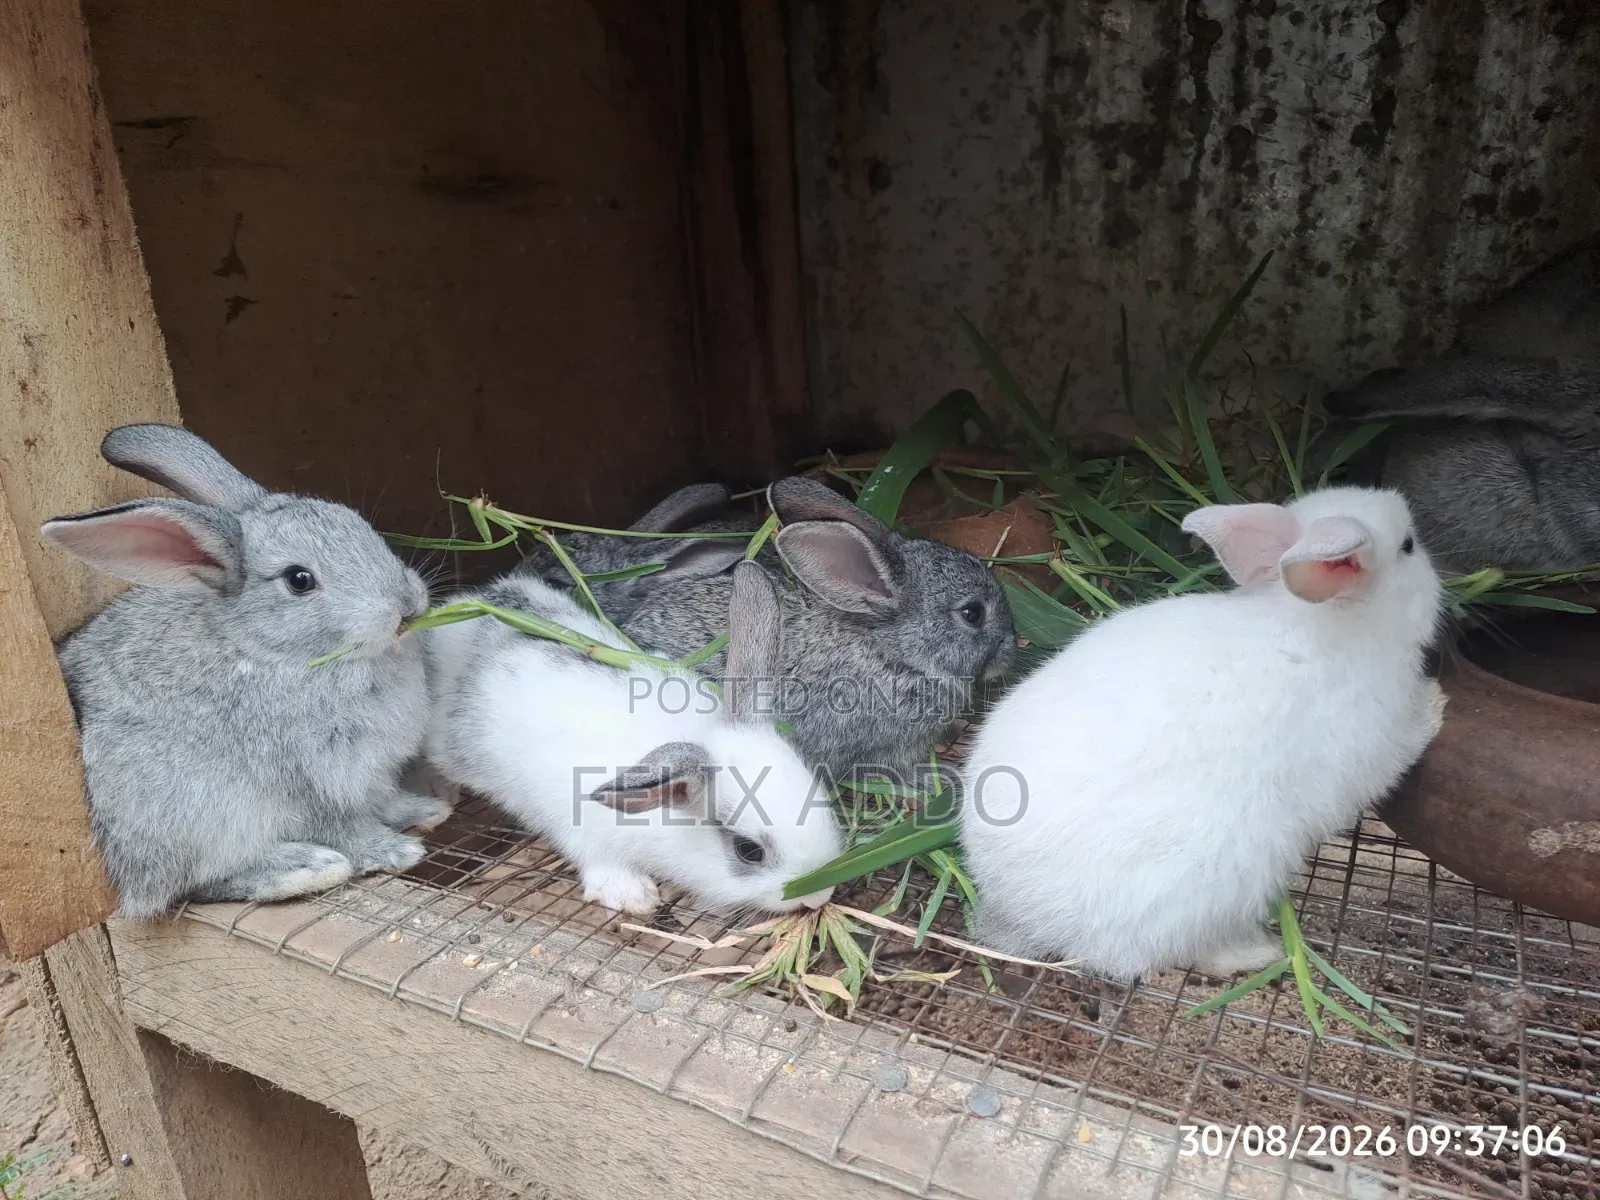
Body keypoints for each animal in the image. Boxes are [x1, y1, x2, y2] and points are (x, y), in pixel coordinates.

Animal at [43, 423, 447, 919]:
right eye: (299, 580)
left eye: (361, 526)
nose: (406, 606)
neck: (271, 651)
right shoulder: (308, 781)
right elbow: (343, 826)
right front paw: (395, 851)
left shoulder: (373, 777)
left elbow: (386, 799)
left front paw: (426, 811)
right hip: (194, 813)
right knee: (186, 887)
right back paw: (306, 868)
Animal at [958, 486, 1446, 981]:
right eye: (1409, 546)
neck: (1328, 620)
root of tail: (1019, 911)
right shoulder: (1374, 746)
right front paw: (1438, 705)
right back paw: (1259, 952)